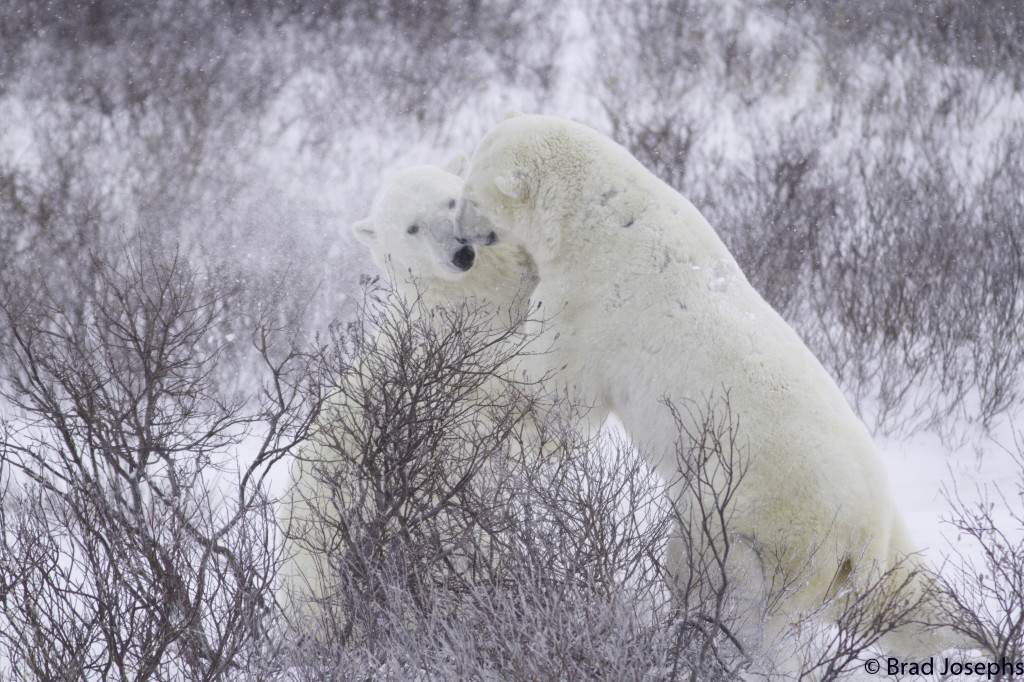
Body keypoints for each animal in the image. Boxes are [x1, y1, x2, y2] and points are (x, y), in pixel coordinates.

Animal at [279, 154, 539, 620]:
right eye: (412, 228)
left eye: (451, 202)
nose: (462, 251)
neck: (461, 296)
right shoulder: (446, 352)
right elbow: (505, 375)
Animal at [452, 113, 968, 658]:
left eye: (471, 195)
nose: (460, 237)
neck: (593, 219)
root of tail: (858, 534)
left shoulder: (591, 304)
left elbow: (549, 387)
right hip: (877, 537)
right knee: (907, 595)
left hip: (761, 520)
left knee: (735, 591)